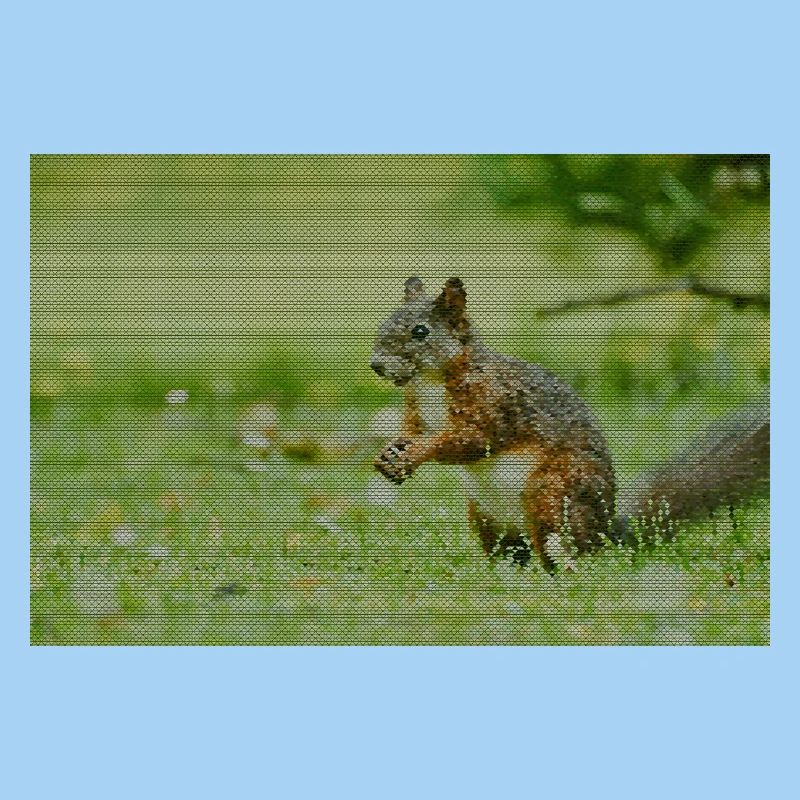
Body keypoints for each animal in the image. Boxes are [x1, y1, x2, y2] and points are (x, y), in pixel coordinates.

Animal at [370, 277, 769, 571]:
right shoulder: (417, 410)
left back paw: (562, 573)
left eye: (420, 332)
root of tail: (606, 530)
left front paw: (416, 453)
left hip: (553, 494)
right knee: (513, 553)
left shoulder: (496, 403)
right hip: (486, 517)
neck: (431, 381)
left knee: (567, 549)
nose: (376, 365)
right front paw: (389, 453)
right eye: (385, 321)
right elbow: (412, 430)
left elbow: (471, 439)